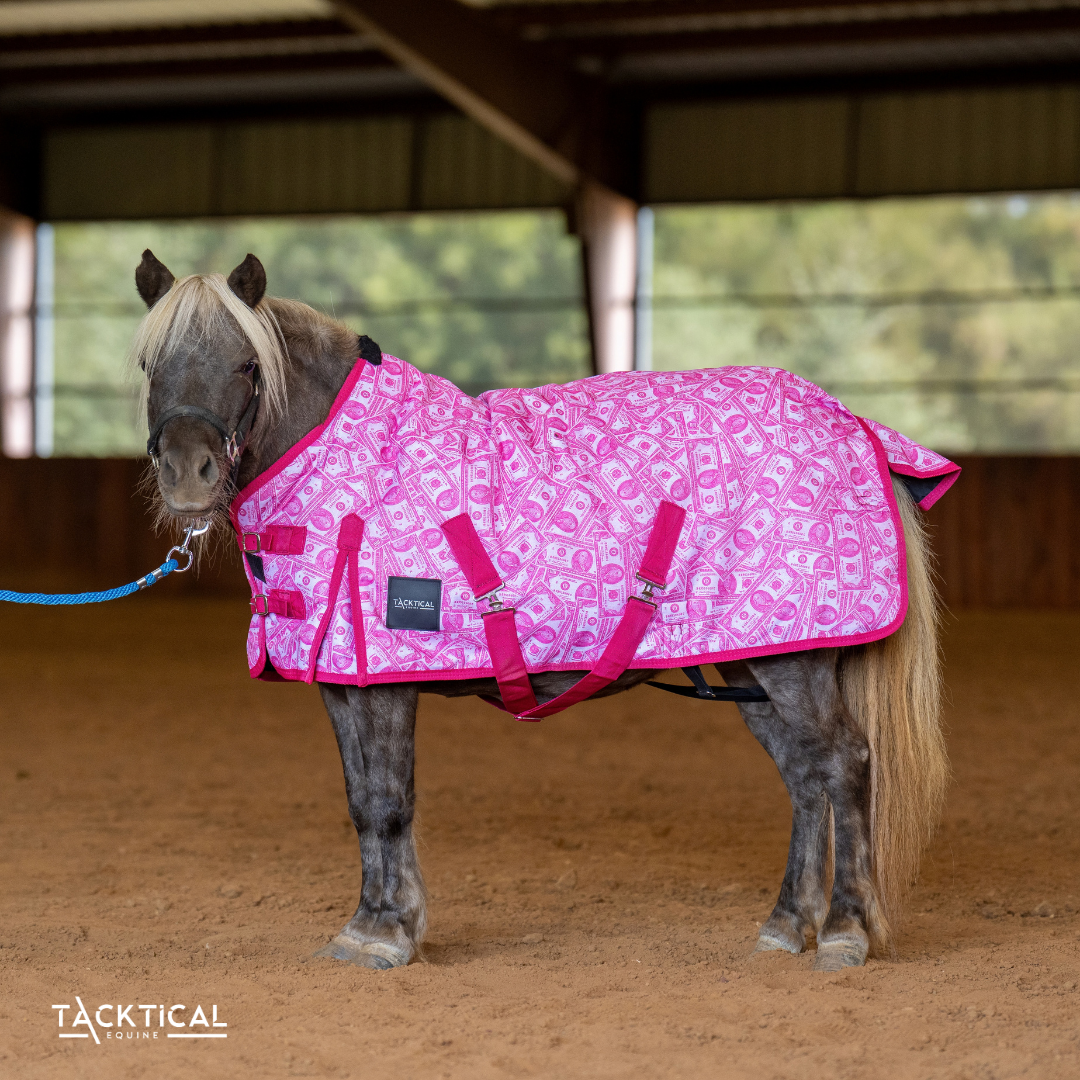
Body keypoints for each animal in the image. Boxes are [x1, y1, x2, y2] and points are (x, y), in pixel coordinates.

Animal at [130, 249, 950, 973]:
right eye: (148, 366)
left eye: (247, 364)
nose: (187, 475)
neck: (353, 465)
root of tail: (854, 424)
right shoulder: (343, 678)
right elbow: (363, 800)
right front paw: (374, 925)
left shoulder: (384, 678)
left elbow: (390, 797)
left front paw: (386, 934)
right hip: (750, 662)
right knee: (804, 776)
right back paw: (786, 924)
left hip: (794, 663)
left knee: (843, 765)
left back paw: (844, 931)